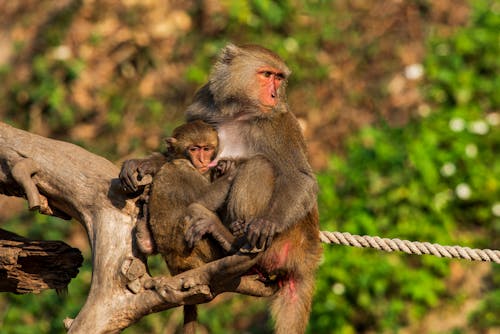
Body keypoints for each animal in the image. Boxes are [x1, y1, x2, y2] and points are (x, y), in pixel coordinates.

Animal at [123, 45, 322, 334]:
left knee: (260, 165)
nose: (274, 95)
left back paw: (230, 239)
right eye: (267, 75)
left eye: (279, 78)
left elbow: (300, 178)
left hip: (286, 238)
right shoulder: (204, 105)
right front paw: (146, 163)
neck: (240, 113)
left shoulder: (279, 123)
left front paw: (267, 222)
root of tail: (305, 255)